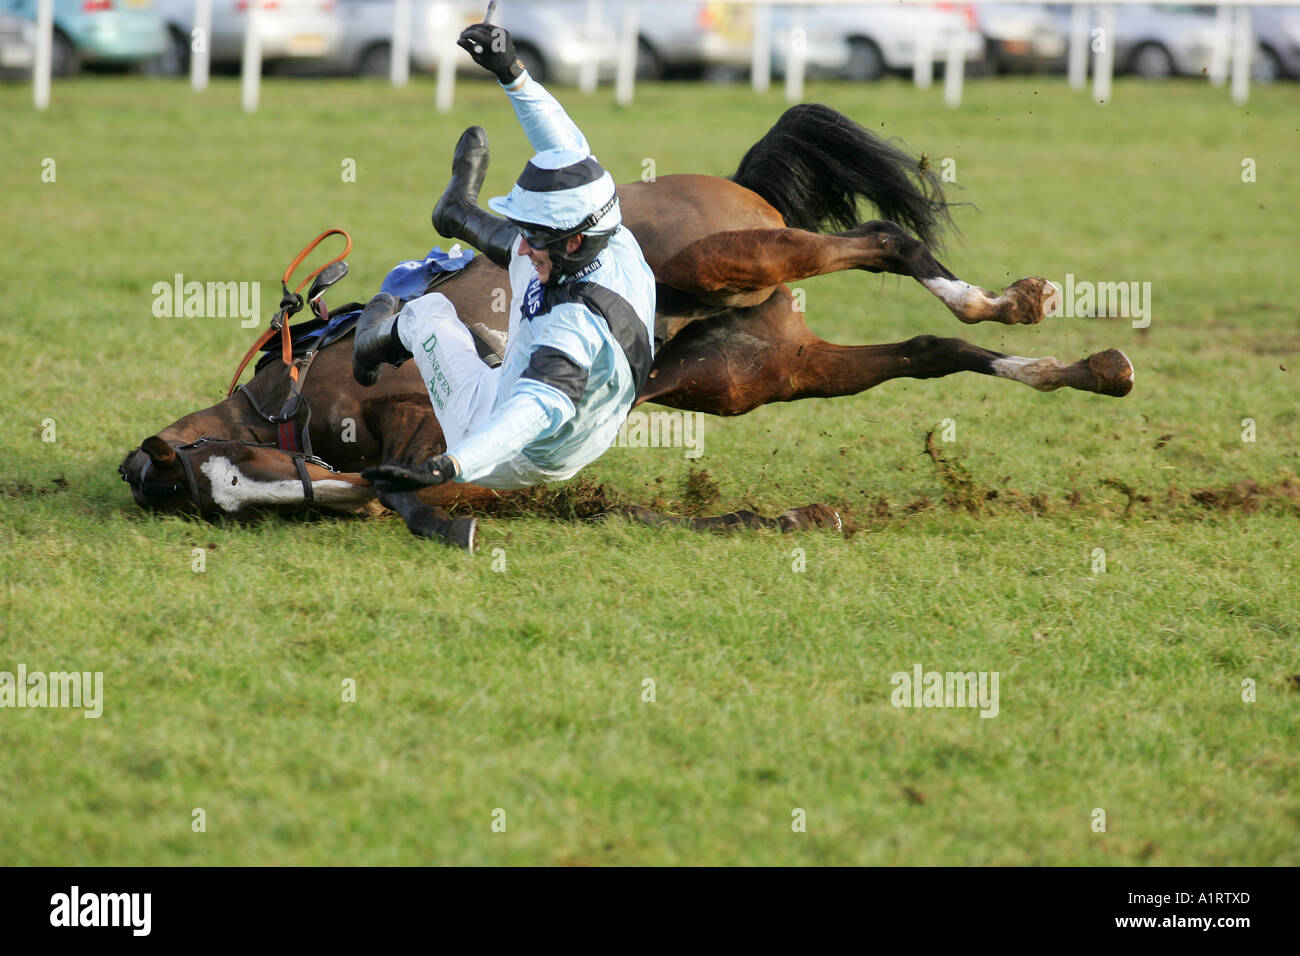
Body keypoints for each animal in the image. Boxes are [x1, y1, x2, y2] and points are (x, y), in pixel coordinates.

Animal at [124, 104, 1138, 548]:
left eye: (247, 470)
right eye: (239, 502)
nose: (349, 494)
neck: (293, 406)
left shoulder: (423, 405)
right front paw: (783, 519)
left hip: (719, 259)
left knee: (885, 238)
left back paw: (1010, 300)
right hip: (753, 369)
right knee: (928, 350)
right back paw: (1079, 365)